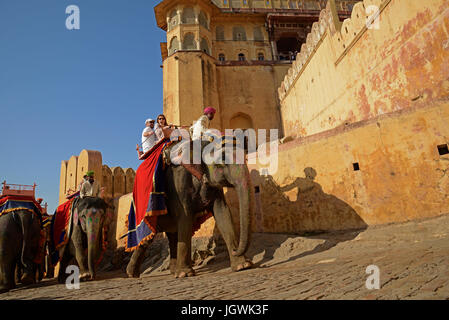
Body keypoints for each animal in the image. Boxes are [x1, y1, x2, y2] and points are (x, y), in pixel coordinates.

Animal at [126, 140, 254, 278]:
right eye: (223, 160)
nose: (236, 250)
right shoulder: (178, 184)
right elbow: (185, 217)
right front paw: (185, 274)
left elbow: (223, 213)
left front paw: (242, 265)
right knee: (148, 237)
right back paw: (132, 274)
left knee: (172, 235)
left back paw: (172, 271)